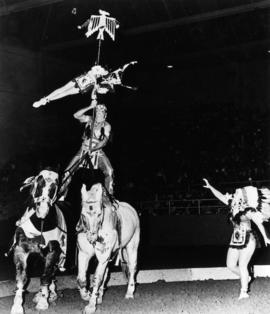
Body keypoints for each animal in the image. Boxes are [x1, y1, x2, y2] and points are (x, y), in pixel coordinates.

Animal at [10, 169, 67, 314]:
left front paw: (43, 301)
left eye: (54, 188)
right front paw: (17, 306)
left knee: (52, 272)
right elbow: (21, 277)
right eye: (38, 183)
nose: (42, 211)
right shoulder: (21, 250)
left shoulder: (52, 251)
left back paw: (49, 294)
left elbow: (46, 276)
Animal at [76, 183, 139, 312]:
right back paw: (99, 297)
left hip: (132, 247)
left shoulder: (103, 256)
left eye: (99, 214)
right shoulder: (83, 254)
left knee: (132, 268)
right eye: (83, 214)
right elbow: (82, 278)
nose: (91, 237)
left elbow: (97, 278)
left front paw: (90, 306)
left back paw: (129, 293)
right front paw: (87, 296)